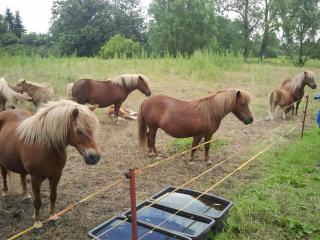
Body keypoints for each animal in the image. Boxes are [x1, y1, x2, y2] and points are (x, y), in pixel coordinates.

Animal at [0, 99, 100, 229]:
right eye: (79, 131)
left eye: (92, 130)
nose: (95, 157)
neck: (45, 147)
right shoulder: (35, 178)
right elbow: (38, 201)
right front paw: (37, 223)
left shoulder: (56, 175)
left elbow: (53, 196)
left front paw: (52, 216)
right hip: (2, 163)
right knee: (4, 174)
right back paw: (5, 192)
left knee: (22, 176)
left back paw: (26, 195)